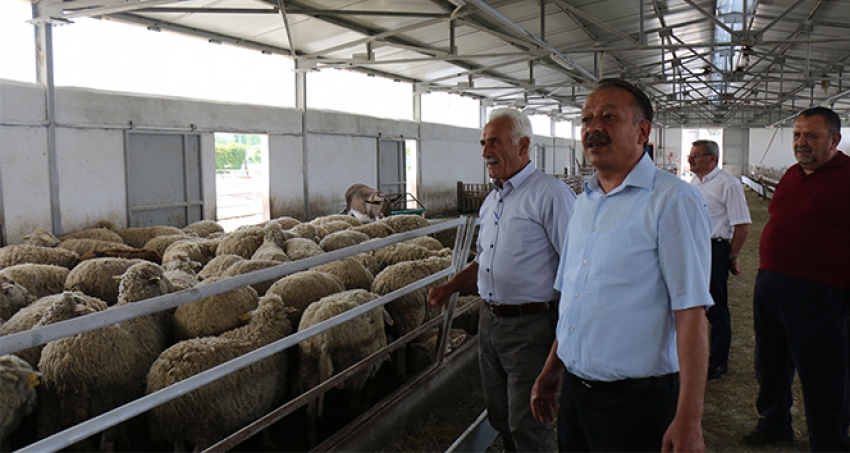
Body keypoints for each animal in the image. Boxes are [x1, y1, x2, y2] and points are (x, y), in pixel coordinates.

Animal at [37, 262, 173, 448]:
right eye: (162, 275)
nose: (174, 287)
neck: (137, 307)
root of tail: (62, 365)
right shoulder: (130, 385)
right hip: (106, 399)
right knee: (107, 436)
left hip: (52, 403)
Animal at [149, 292, 298, 450]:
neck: (263, 328)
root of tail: (161, 379)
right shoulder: (271, 394)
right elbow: (267, 422)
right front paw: (268, 442)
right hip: (205, 425)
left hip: (180, 427)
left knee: (178, 446)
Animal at [296, 290, 390, 442]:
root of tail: (321, 339)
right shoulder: (371, 365)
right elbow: (369, 389)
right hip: (356, 371)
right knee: (354, 404)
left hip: (309, 368)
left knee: (310, 414)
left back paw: (313, 441)